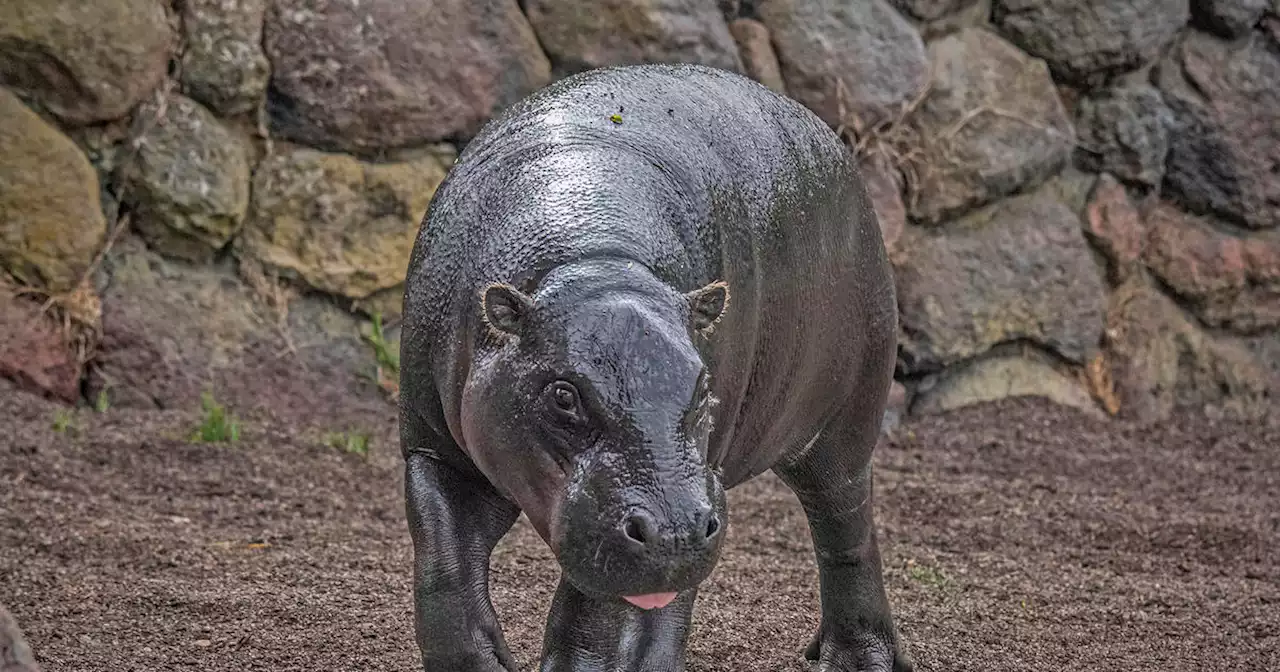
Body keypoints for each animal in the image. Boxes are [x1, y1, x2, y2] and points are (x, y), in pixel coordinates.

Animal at [399, 64, 911, 670]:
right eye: (563, 395)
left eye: (704, 388)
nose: (677, 532)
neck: (593, 264)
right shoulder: (434, 448)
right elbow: (445, 567)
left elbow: (591, 610)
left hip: (833, 429)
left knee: (844, 527)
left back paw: (856, 658)